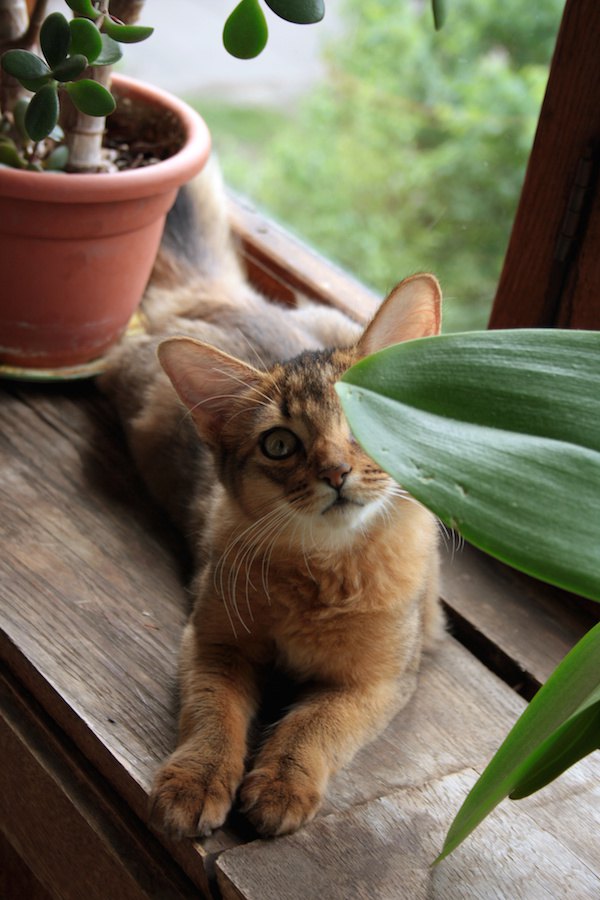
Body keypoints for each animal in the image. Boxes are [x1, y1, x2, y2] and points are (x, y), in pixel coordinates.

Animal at [101, 158, 442, 840]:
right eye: (281, 445)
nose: (337, 472)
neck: (326, 577)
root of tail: (219, 297)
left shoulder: (380, 680)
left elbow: (315, 725)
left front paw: (283, 783)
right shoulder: (212, 643)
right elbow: (214, 716)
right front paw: (197, 779)